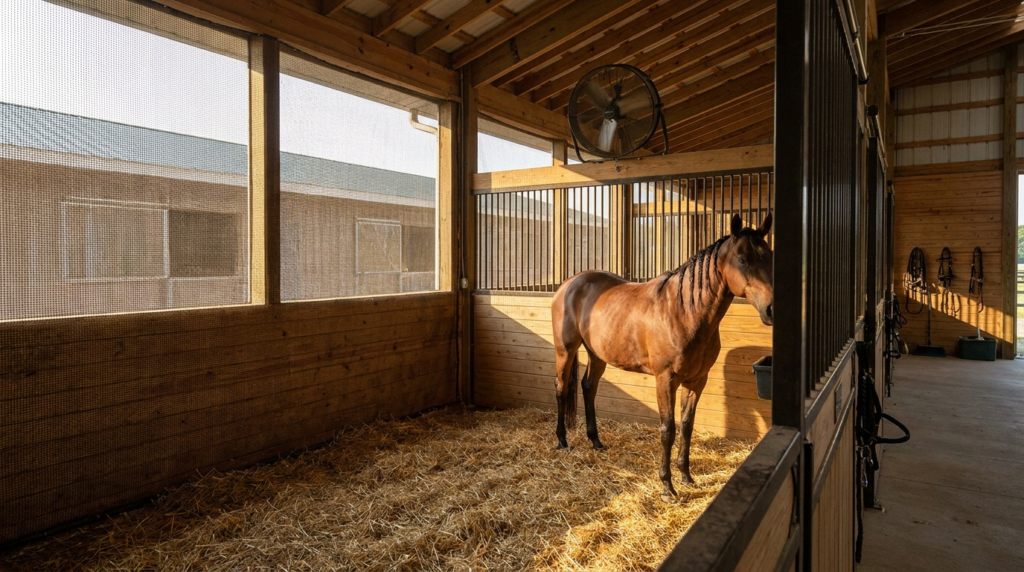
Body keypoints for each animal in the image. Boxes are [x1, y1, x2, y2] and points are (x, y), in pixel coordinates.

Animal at [550, 213, 774, 502]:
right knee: (562, 389)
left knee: (588, 388)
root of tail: (569, 284)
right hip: (565, 350)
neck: (683, 311)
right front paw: (667, 487)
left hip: (597, 354)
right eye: (743, 259)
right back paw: (562, 440)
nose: (771, 308)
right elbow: (668, 429)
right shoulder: (665, 380)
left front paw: (687, 477)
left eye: (769, 256)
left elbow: (687, 426)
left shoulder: (697, 381)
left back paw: (596, 441)